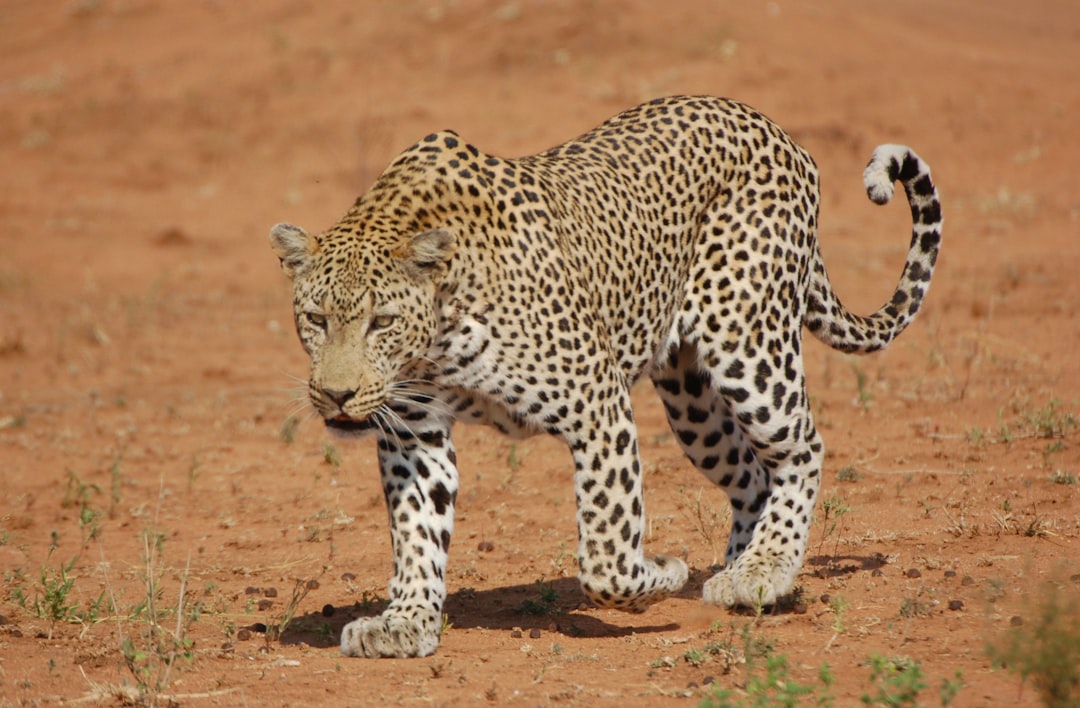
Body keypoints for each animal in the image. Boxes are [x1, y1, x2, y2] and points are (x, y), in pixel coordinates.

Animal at [265, 93, 941, 656]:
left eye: (380, 321)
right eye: (316, 319)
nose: (336, 394)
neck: (438, 333)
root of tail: (775, 130)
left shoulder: (596, 402)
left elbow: (605, 549)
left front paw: (660, 574)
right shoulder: (413, 435)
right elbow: (417, 533)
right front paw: (405, 622)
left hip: (749, 346)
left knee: (802, 449)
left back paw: (763, 569)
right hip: (692, 402)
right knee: (752, 476)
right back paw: (741, 573)